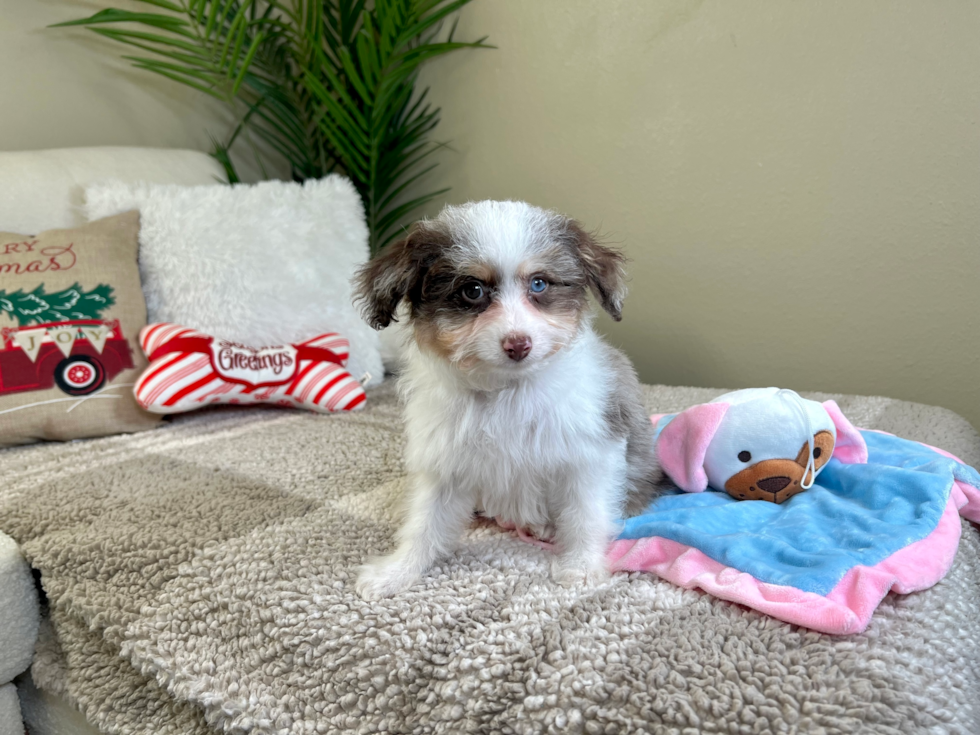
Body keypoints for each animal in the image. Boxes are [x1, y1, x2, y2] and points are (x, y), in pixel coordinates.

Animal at [350, 200, 660, 600]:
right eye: (472, 290)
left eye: (539, 283)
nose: (518, 344)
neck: (506, 393)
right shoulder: (444, 461)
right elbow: (424, 522)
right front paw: (398, 571)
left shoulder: (591, 454)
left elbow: (585, 515)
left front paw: (582, 567)